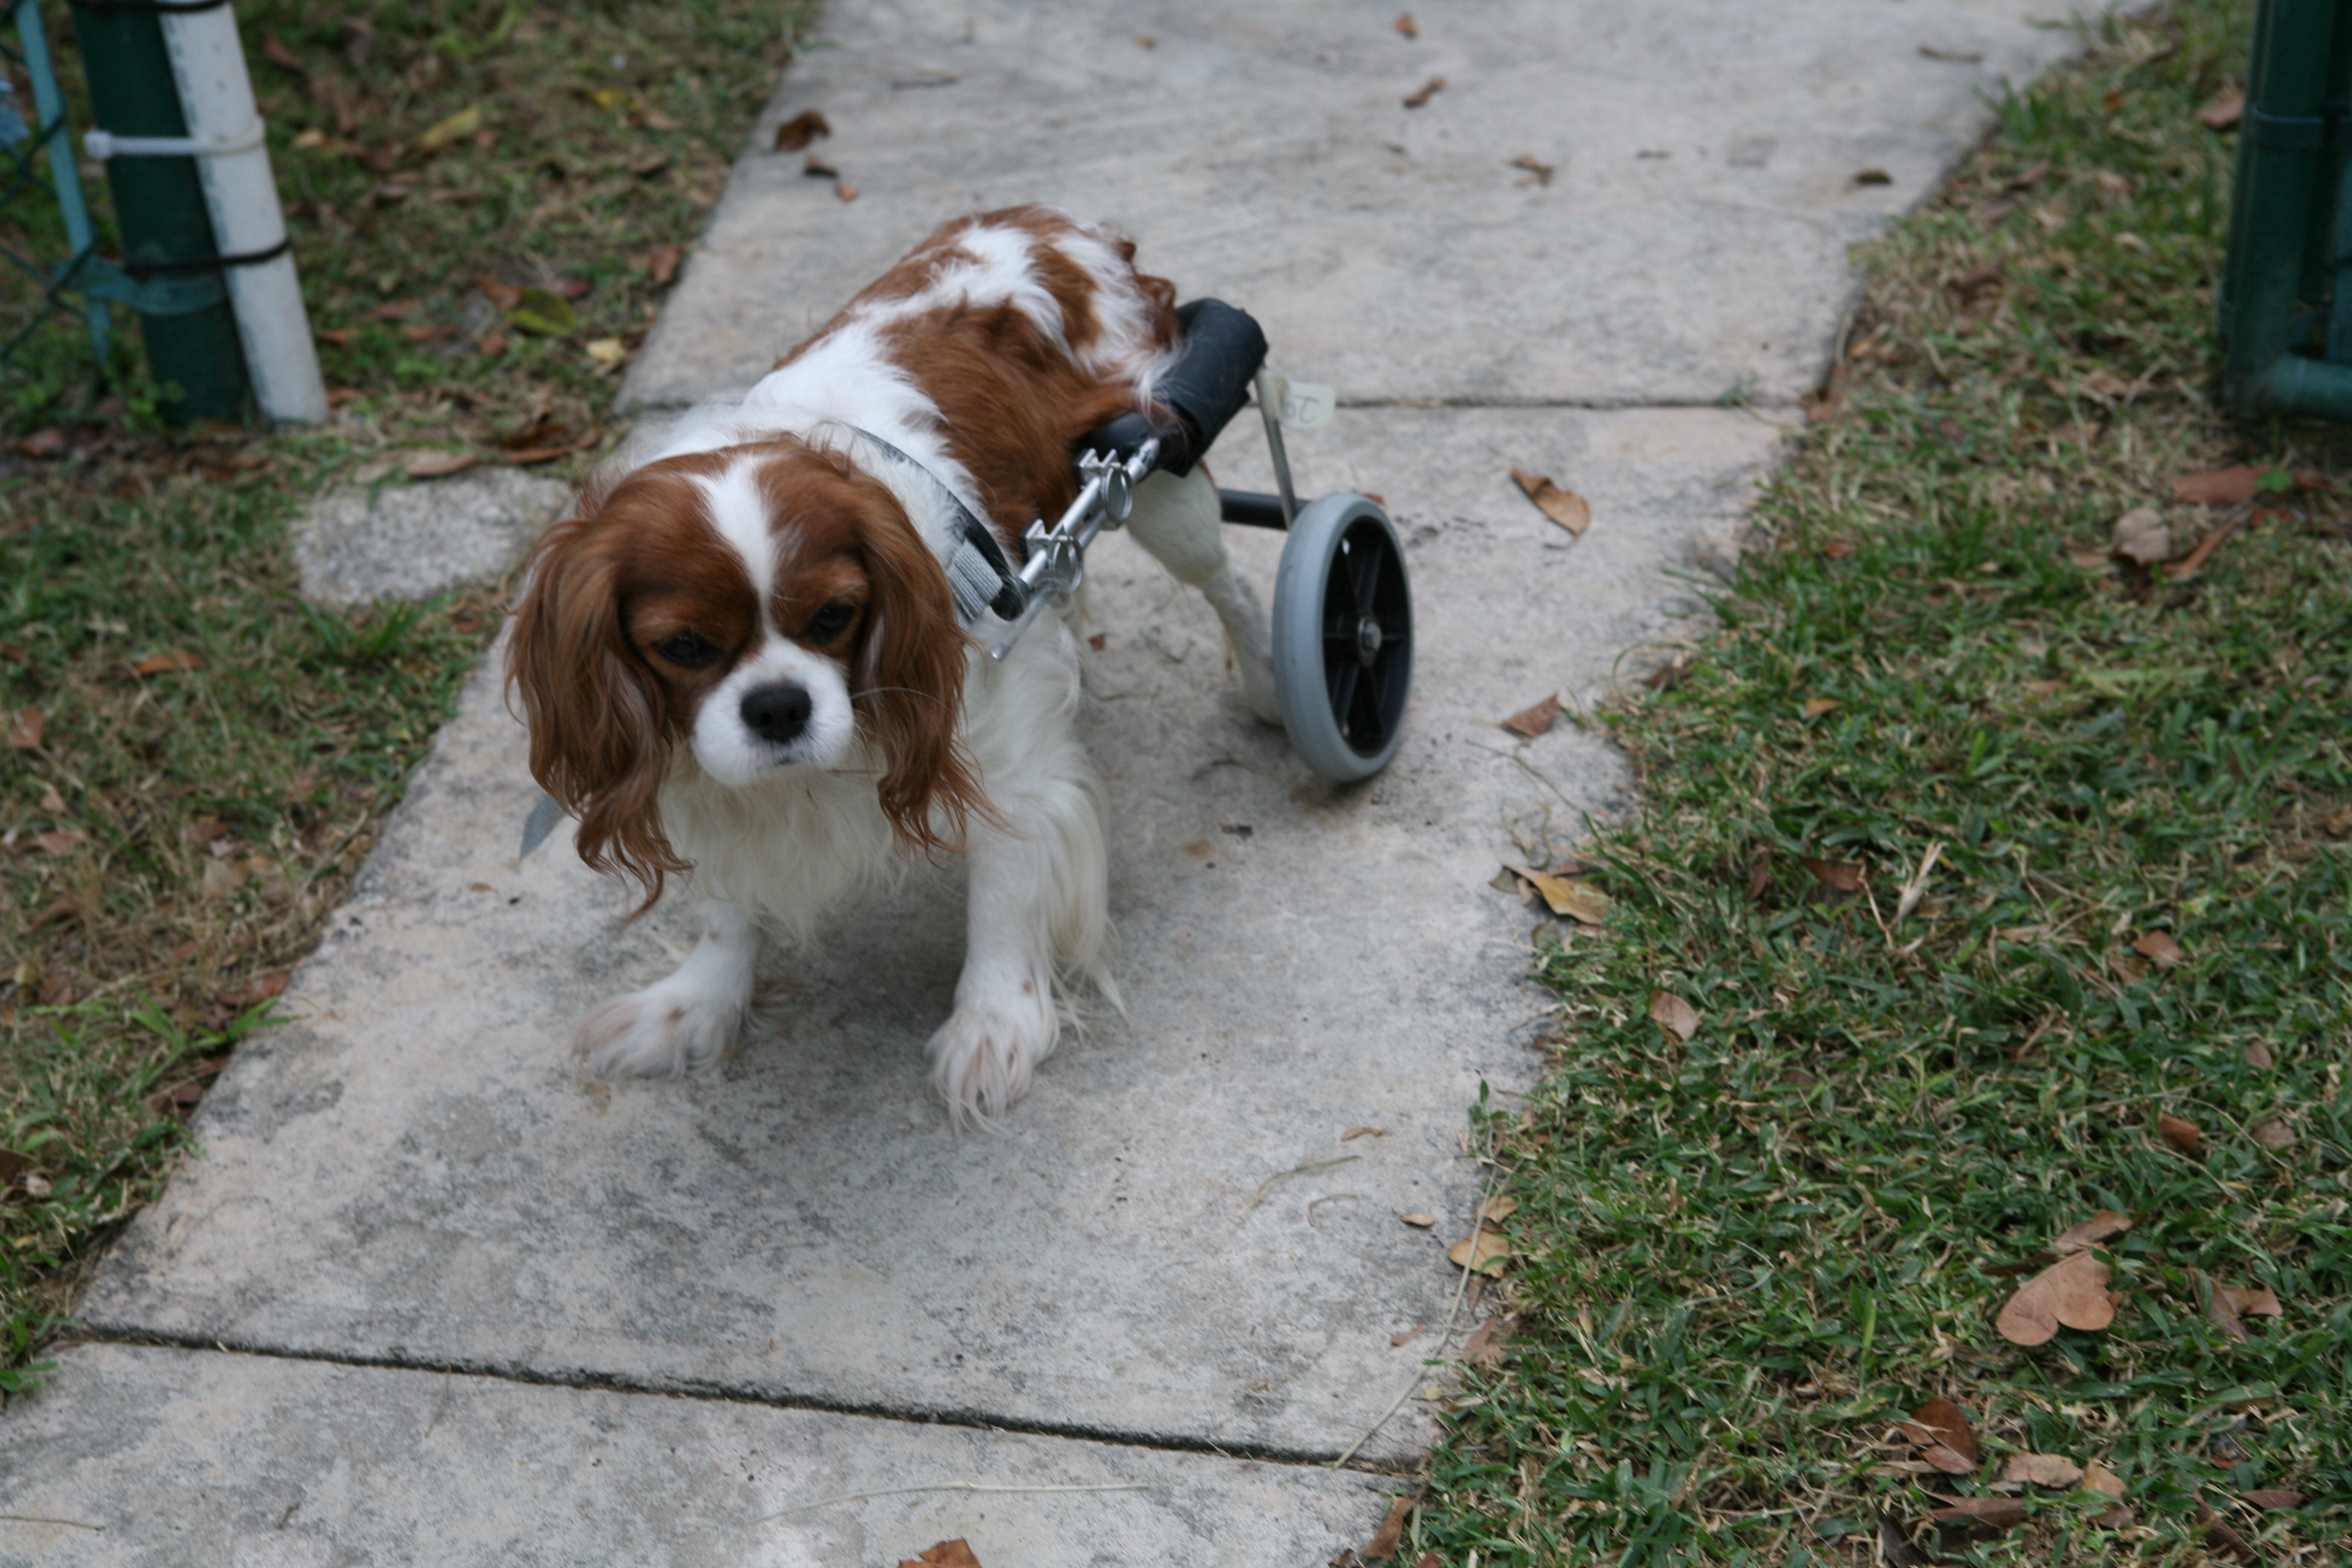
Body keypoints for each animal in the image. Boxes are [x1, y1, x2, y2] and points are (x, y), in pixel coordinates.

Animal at [506, 208, 1279, 1123]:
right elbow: (728, 906)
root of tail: (1057, 224)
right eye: (684, 647)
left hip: (1152, 471)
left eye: (835, 617)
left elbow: (1005, 893)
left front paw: (994, 1021)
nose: (778, 707)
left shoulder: (1006, 765)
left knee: (1230, 582)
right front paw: (695, 1003)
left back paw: (1273, 686)